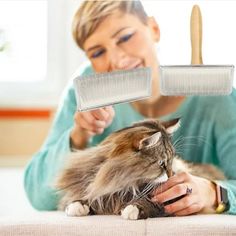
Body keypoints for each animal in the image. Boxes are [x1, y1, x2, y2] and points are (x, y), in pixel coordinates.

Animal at [55, 119, 225, 220]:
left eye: (171, 161)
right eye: (162, 163)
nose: (171, 175)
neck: (121, 181)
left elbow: (150, 204)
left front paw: (132, 208)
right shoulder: (101, 189)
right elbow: (91, 197)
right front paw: (77, 206)